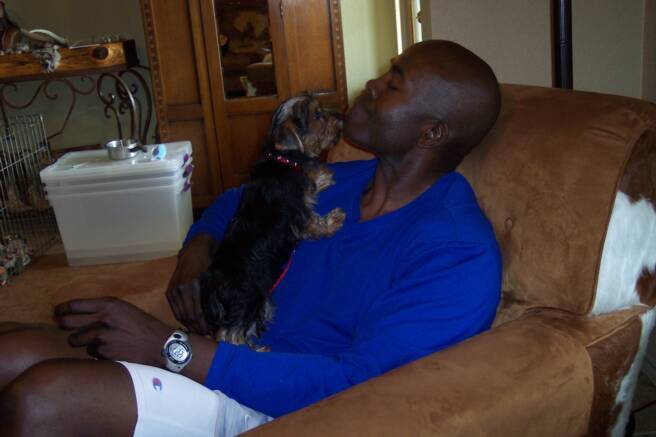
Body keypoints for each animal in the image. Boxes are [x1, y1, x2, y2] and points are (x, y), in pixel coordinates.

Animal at [200, 94, 345, 347]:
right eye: (317, 114)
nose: (341, 118)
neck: (283, 158)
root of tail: (214, 290)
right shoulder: (299, 215)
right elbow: (315, 223)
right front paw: (334, 220)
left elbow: (311, 184)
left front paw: (321, 176)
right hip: (250, 303)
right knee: (232, 336)